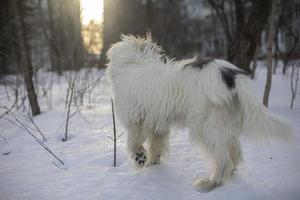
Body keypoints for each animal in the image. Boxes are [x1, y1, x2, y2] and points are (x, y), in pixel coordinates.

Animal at [106, 34, 292, 191]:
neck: (136, 62)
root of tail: (230, 74)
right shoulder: (158, 124)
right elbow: (156, 145)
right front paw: (152, 164)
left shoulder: (136, 119)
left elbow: (134, 142)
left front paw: (140, 158)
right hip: (226, 121)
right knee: (234, 151)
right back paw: (228, 174)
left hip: (206, 125)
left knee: (222, 157)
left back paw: (211, 182)